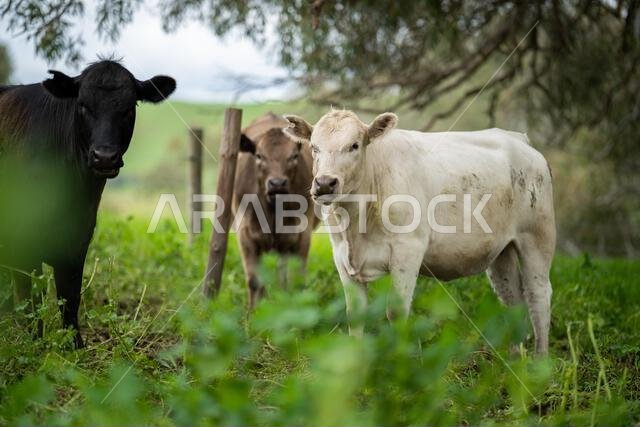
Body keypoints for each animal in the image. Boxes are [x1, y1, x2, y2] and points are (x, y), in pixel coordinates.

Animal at [0, 60, 176, 348]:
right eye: (82, 105)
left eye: (129, 107)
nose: (105, 156)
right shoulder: (22, 244)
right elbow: (31, 303)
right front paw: (33, 344)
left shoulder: (77, 241)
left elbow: (70, 298)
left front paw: (75, 346)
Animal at [233, 112, 316, 308]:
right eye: (259, 155)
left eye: (294, 156)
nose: (277, 183)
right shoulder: (246, 234)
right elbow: (254, 280)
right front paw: (253, 313)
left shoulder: (301, 235)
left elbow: (296, 281)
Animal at [284, 109, 556, 354]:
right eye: (314, 147)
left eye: (354, 145)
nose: (324, 183)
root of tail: (518, 139)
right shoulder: (341, 257)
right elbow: (355, 315)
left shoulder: (408, 251)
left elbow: (396, 312)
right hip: (501, 252)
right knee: (513, 301)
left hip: (537, 238)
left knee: (538, 296)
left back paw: (539, 365)